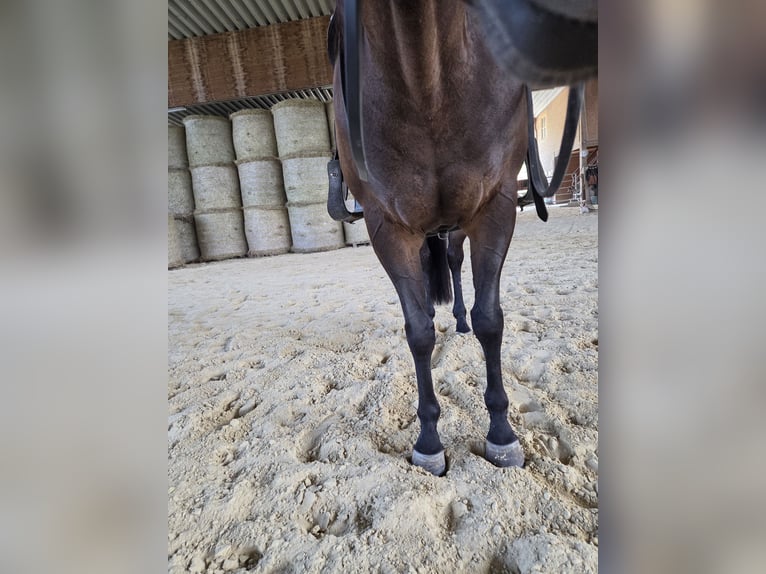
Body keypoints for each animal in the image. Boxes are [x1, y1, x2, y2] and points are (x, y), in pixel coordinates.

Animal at [328, 0, 591, 476]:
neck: (425, 81)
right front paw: (429, 441)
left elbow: (491, 320)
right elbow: (418, 332)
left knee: (455, 264)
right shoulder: (387, 227)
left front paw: (502, 435)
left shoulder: (494, 208)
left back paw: (462, 321)